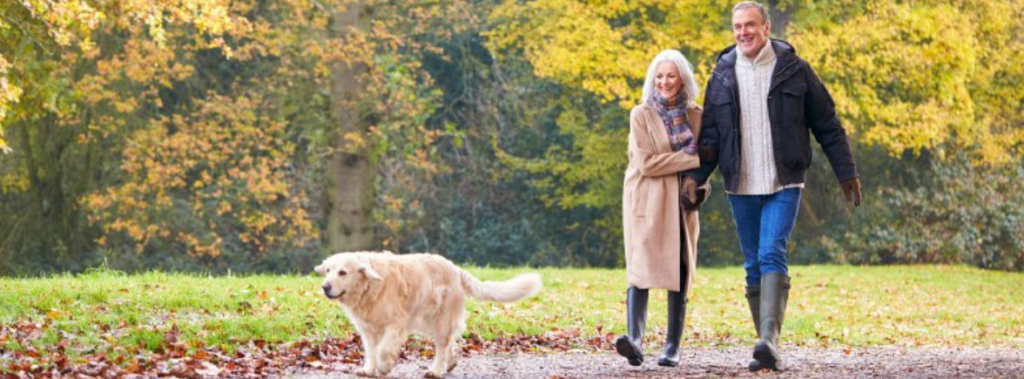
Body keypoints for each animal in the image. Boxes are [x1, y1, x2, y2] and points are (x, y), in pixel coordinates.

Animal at [315, 249, 544, 376]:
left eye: (343, 272)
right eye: (328, 271)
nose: (325, 287)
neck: (369, 287)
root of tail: (455, 268)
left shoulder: (395, 325)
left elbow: (383, 350)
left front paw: (385, 367)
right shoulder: (367, 329)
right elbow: (371, 351)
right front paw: (369, 370)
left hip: (440, 320)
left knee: (442, 347)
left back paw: (435, 371)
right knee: (450, 343)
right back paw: (450, 364)